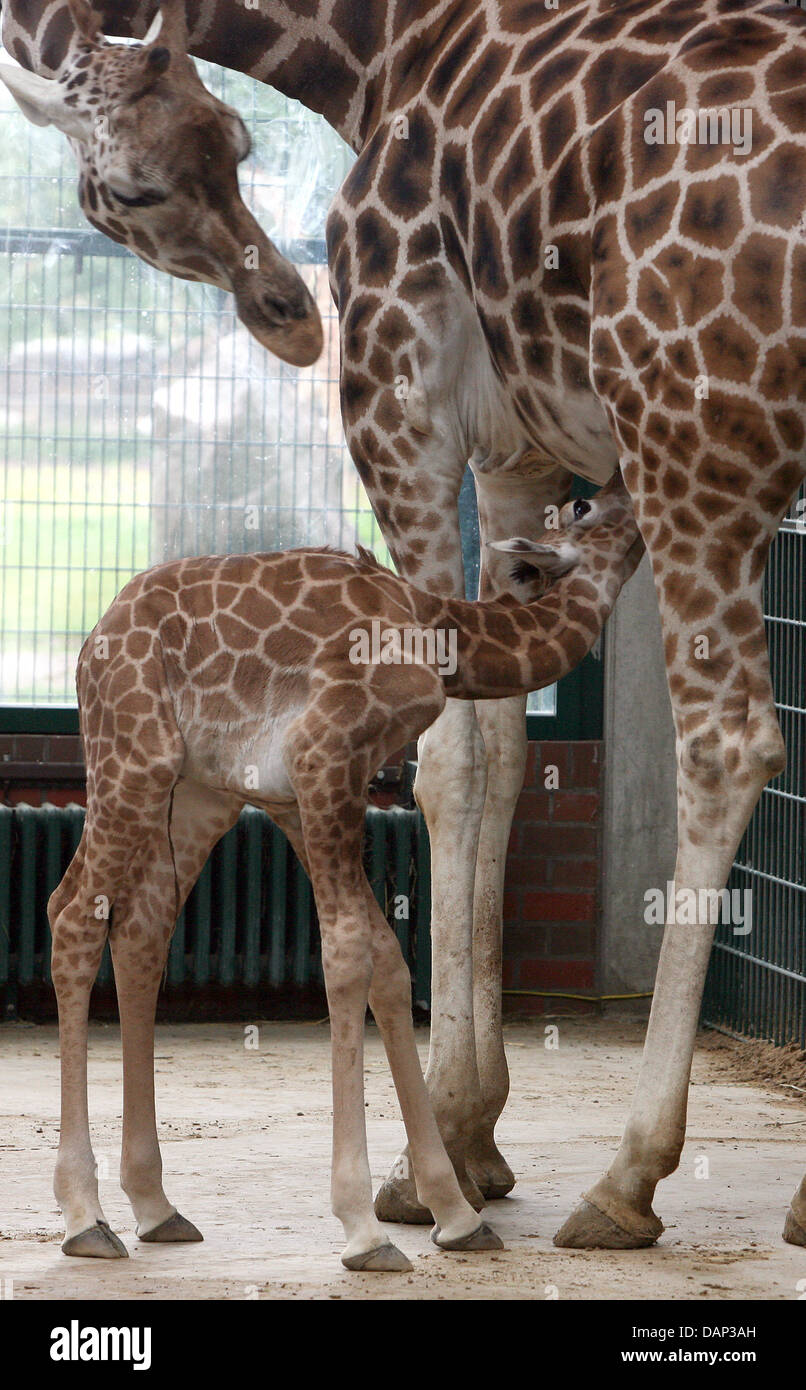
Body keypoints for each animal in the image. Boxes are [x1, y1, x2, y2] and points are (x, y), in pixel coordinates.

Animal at [49, 474, 641, 1268]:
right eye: (582, 506)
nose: (635, 491)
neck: (438, 636)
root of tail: (91, 643)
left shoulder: (298, 791)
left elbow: (386, 960)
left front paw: (455, 1214)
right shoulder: (325, 757)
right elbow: (348, 956)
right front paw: (364, 1227)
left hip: (196, 791)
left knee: (141, 929)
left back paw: (154, 1206)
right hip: (132, 758)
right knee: (74, 916)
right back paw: (85, 1218)